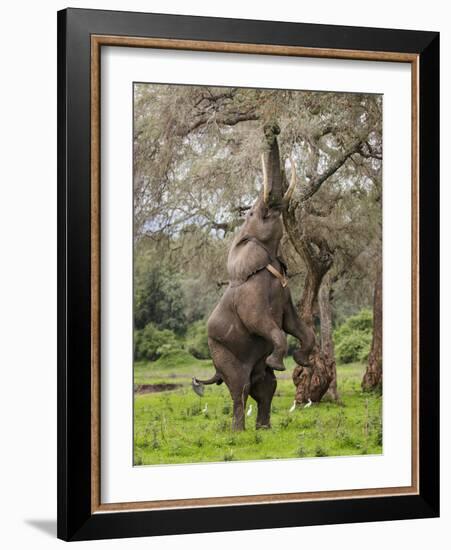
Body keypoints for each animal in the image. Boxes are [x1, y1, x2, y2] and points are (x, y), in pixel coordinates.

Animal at [192, 124, 314, 432]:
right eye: (253, 213)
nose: (272, 128)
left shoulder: (286, 293)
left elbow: (295, 325)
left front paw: (302, 360)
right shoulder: (250, 297)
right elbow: (263, 324)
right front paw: (280, 362)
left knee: (266, 387)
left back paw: (265, 429)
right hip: (222, 351)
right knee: (241, 387)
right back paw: (238, 432)